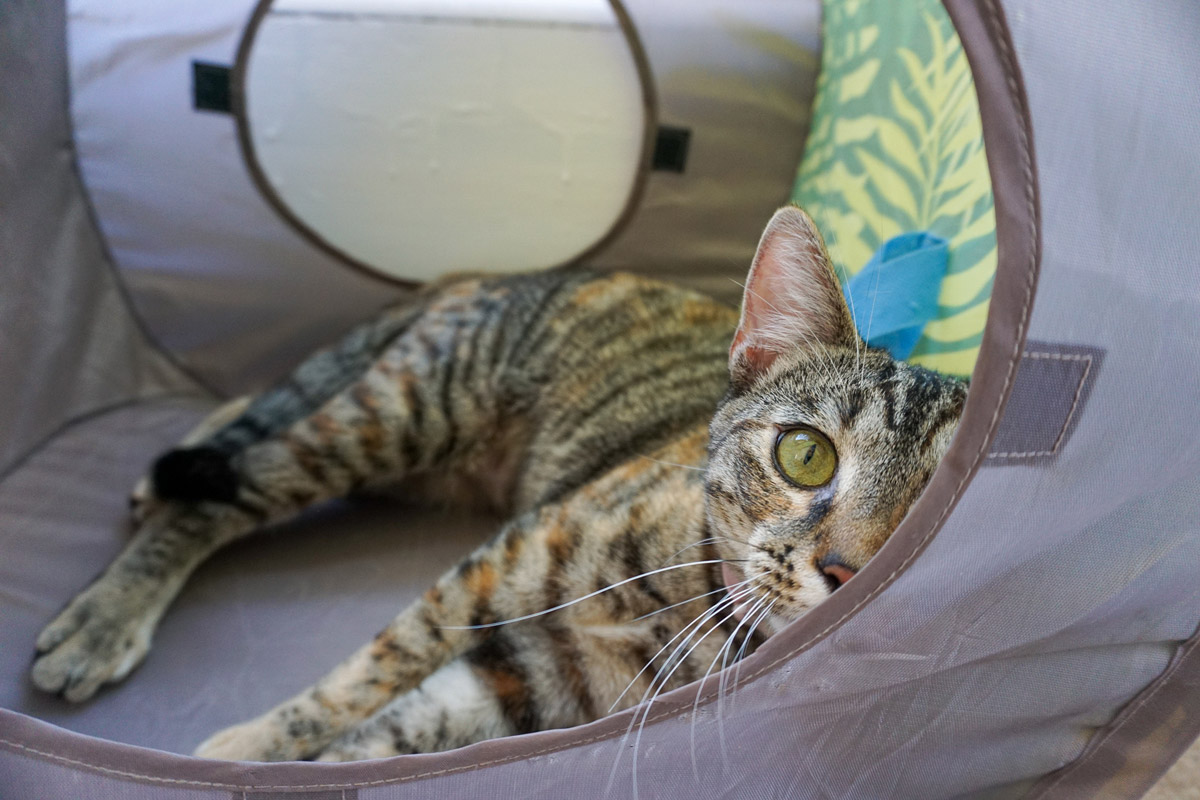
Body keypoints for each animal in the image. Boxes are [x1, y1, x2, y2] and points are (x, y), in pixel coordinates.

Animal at [28, 206, 964, 762]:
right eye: (806, 455)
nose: (846, 571)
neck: (691, 609)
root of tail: (479, 276)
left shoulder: (533, 687)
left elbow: (388, 734)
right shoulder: (494, 567)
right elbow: (366, 675)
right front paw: (254, 752)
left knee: (252, 426)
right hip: (401, 414)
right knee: (235, 484)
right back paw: (107, 612)